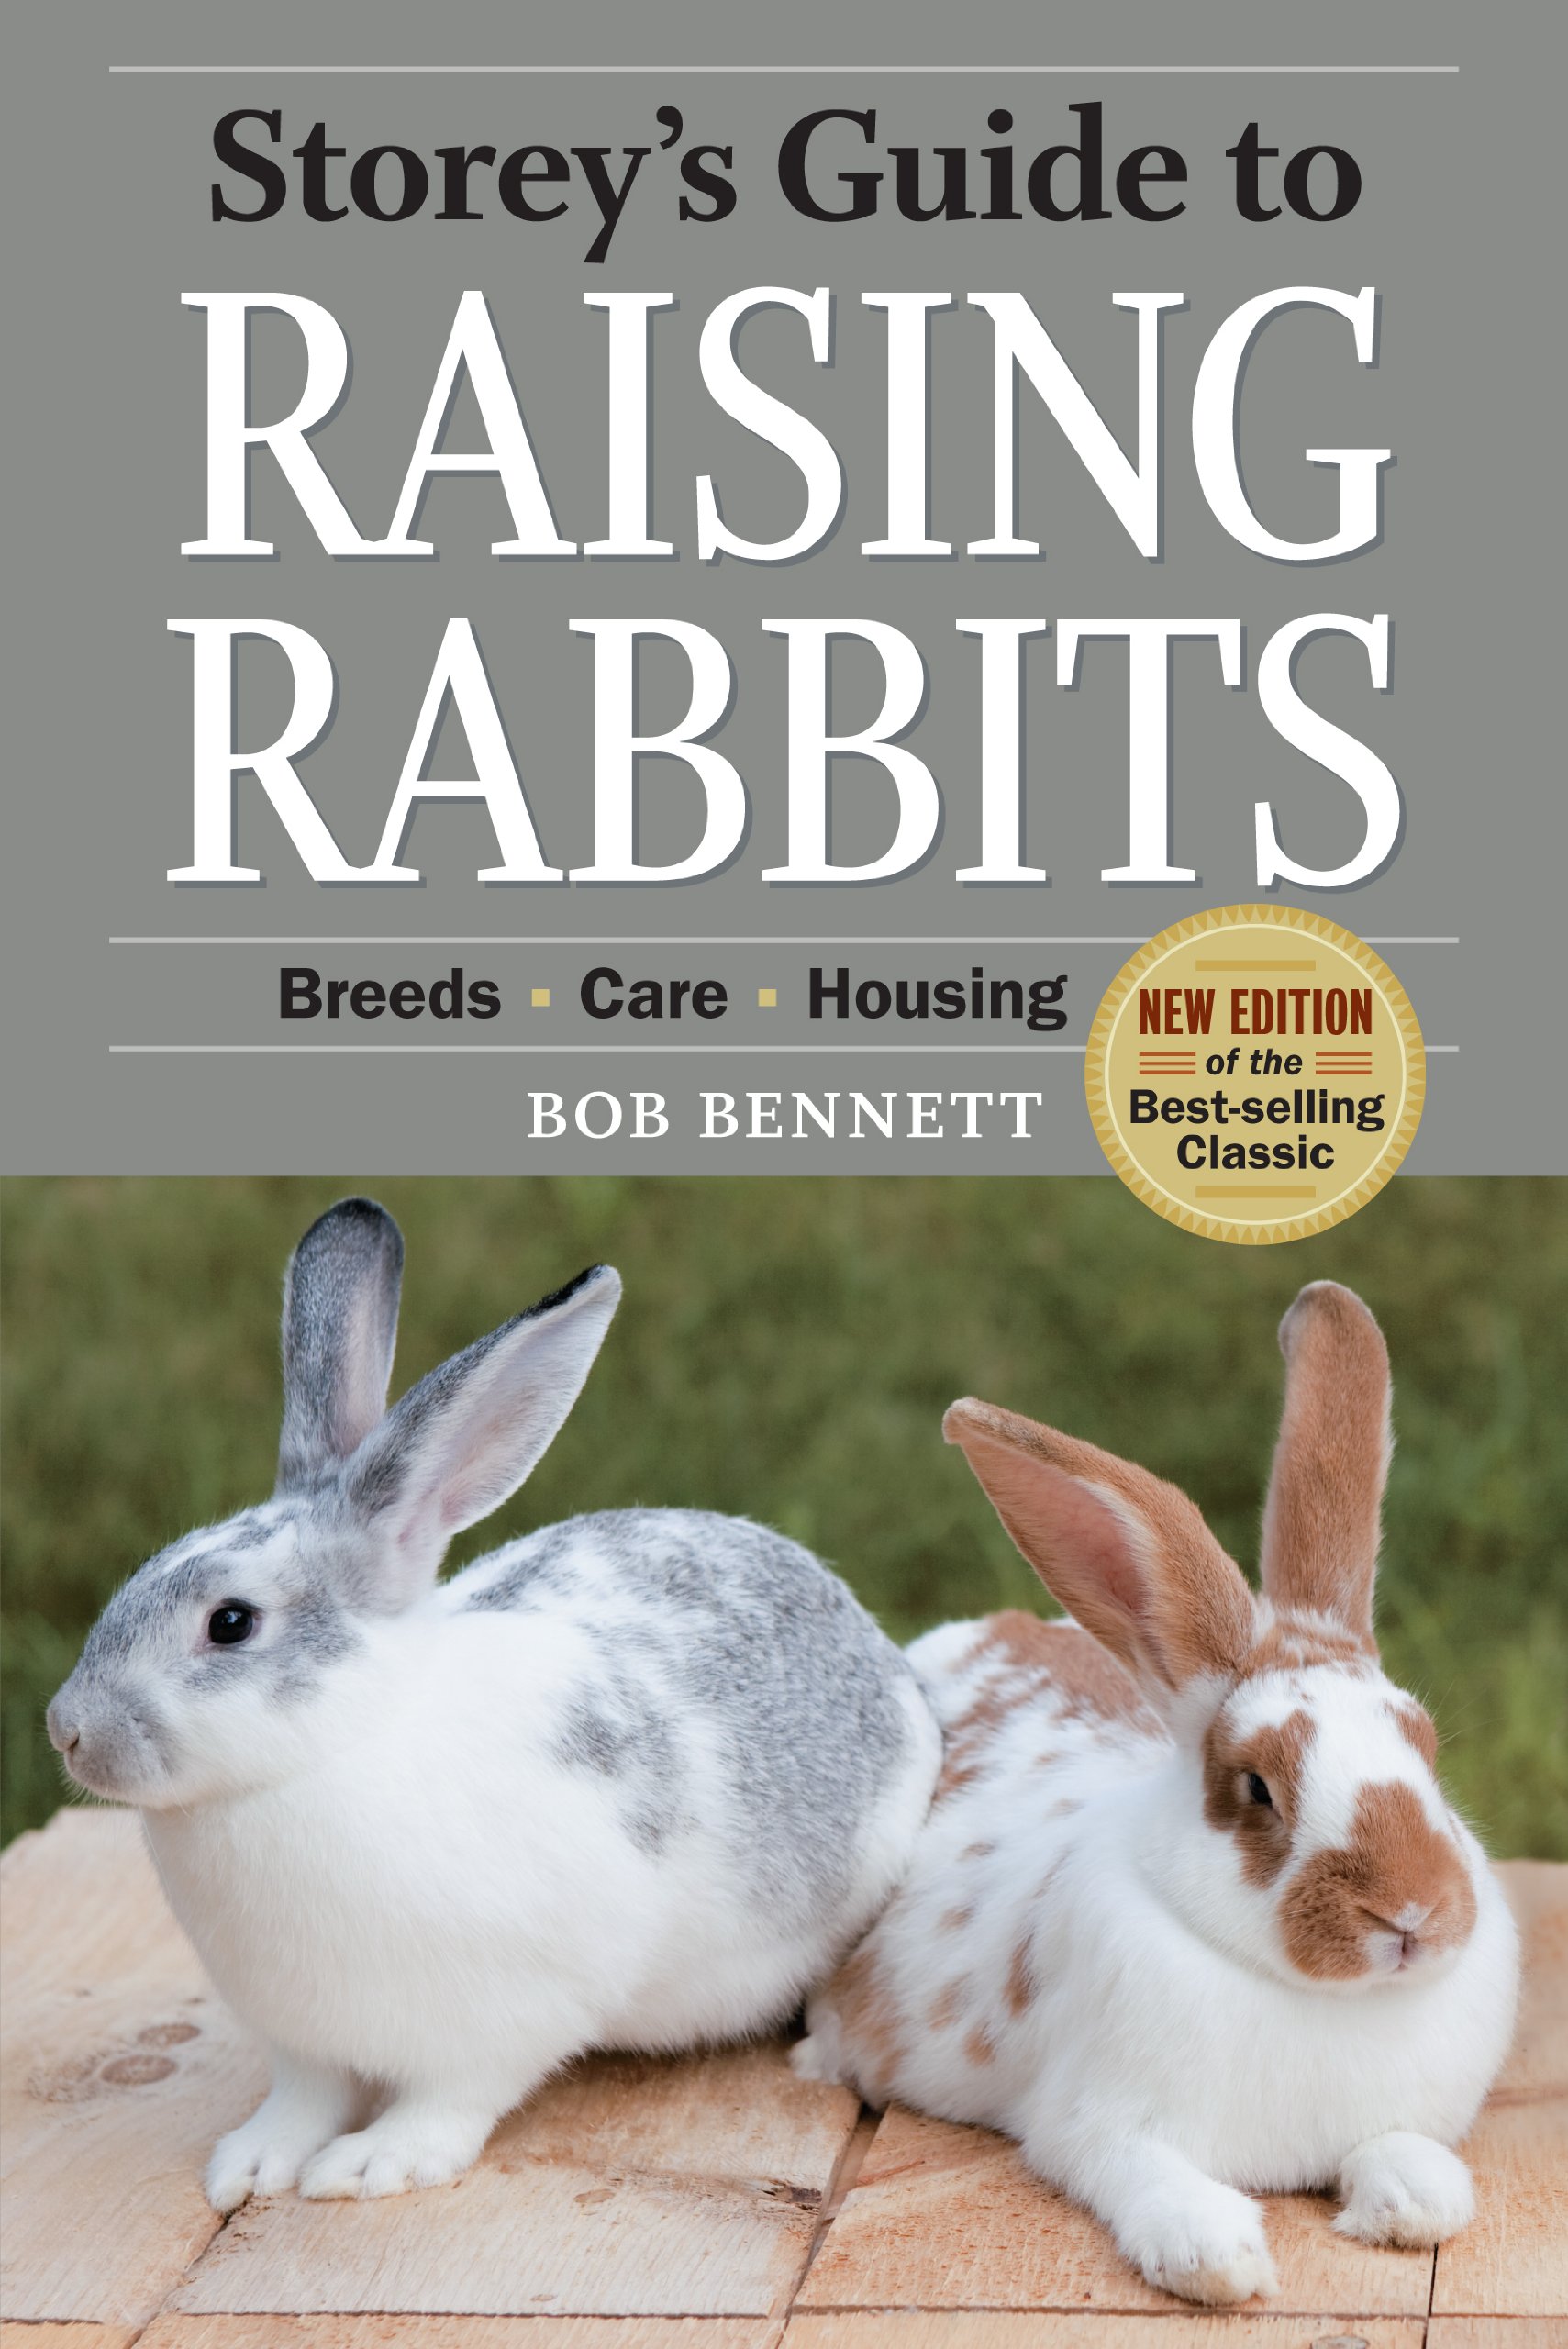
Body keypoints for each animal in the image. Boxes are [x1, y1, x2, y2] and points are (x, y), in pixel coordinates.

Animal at [46, 1197, 941, 2211]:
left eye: (230, 1623)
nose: (68, 1730)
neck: (333, 1748)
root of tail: (883, 1658)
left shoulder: (504, 2019)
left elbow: (448, 2101)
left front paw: (370, 2164)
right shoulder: (299, 2039)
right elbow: (302, 2098)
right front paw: (251, 2163)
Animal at [794, 1281, 1519, 2307]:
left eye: (1424, 1744)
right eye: (1255, 1787)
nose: (1411, 1912)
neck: (1318, 2000)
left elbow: (1412, 2168)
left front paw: (1406, 2205)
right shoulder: (1092, 2124)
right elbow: (1150, 2181)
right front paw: (1219, 2259)